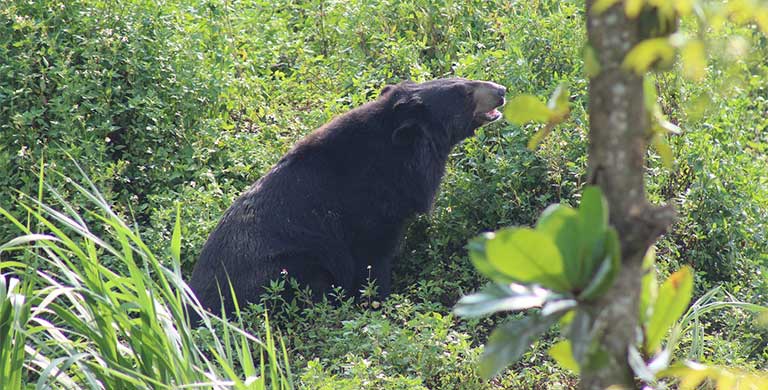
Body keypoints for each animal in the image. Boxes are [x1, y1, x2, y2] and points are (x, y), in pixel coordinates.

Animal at [189, 77, 508, 316]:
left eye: (463, 80)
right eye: (465, 92)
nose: (501, 91)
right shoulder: (369, 210)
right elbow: (372, 260)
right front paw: (378, 303)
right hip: (286, 269)